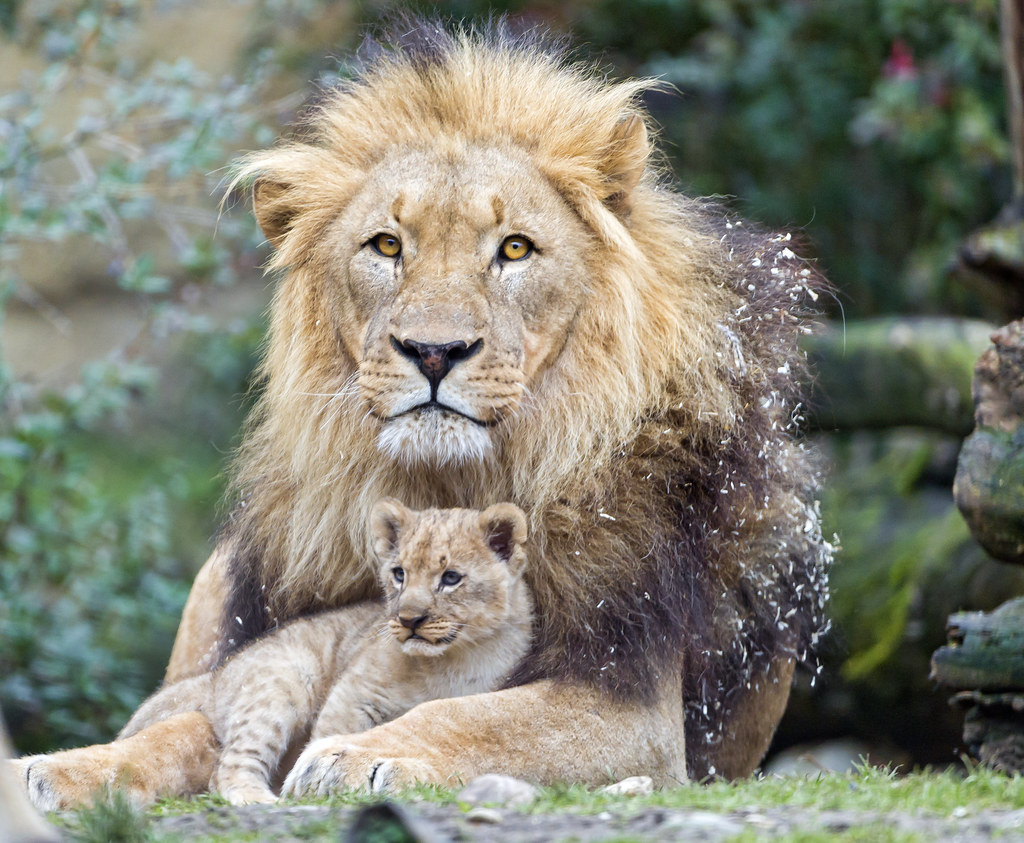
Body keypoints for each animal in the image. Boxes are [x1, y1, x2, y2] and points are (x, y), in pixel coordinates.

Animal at [15, 19, 831, 804]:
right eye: (385, 245)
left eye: (514, 249)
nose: (434, 352)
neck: (443, 484)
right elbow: (190, 724)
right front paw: (65, 768)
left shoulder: (631, 701)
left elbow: (476, 714)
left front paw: (356, 753)